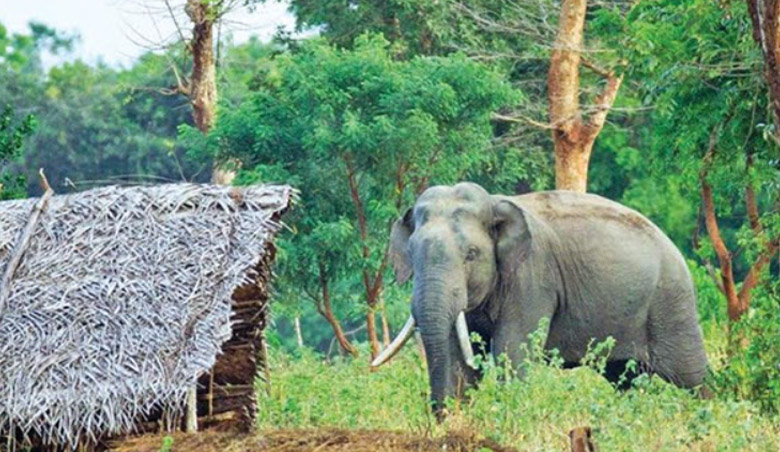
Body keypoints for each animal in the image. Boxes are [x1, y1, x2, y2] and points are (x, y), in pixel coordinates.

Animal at [371, 182, 709, 414]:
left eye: (471, 254)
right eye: (412, 252)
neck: (494, 202)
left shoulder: (532, 277)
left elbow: (511, 350)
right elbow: (457, 358)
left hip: (670, 302)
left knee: (691, 375)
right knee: (625, 378)